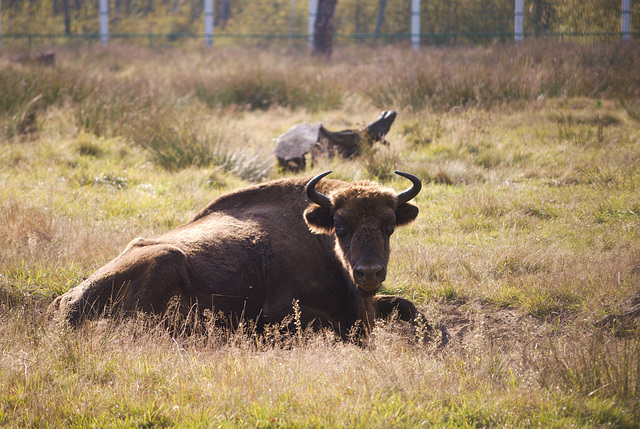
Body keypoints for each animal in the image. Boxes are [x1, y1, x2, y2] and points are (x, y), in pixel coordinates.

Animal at [50, 171, 448, 342]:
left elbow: (406, 305)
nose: (369, 272)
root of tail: (65, 303)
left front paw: (436, 336)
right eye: (340, 225)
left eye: (389, 225)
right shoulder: (282, 313)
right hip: (166, 259)